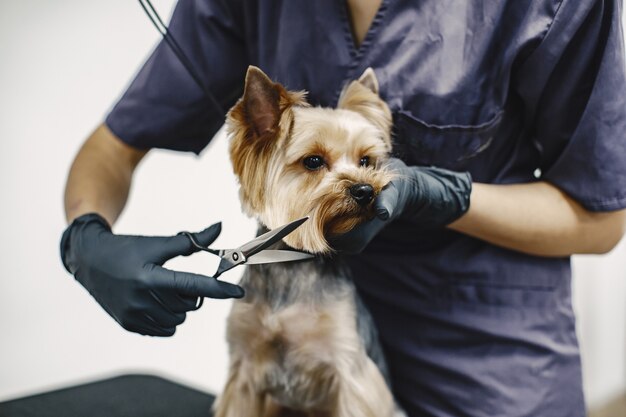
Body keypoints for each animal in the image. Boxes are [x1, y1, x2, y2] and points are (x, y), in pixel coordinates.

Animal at [214, 66, 400, 416]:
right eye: (313, 161)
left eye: (365, 161)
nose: (365, 190)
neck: (291, 260)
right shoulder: (244, 368)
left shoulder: (350, 371)